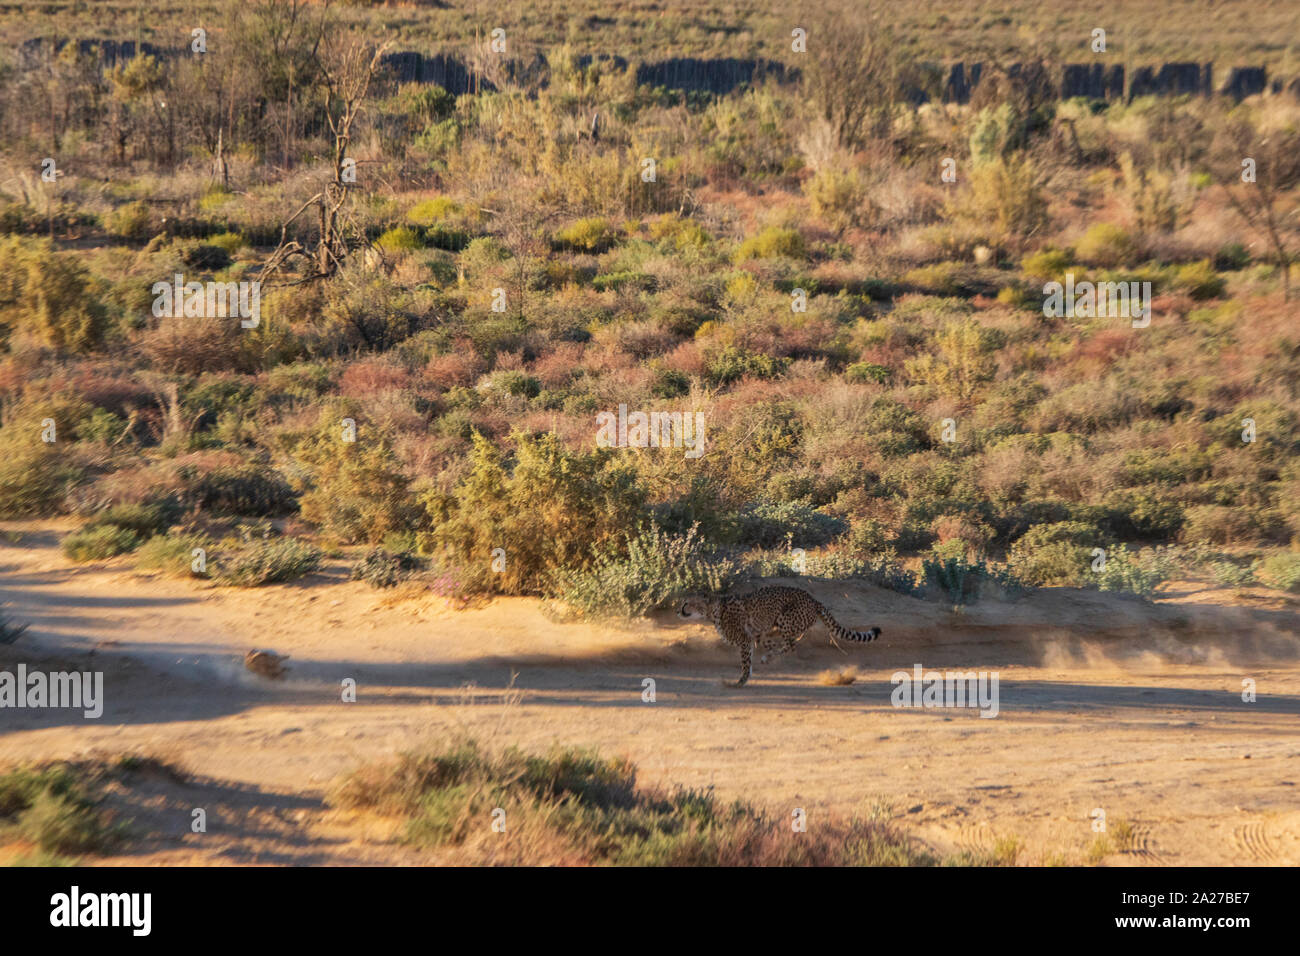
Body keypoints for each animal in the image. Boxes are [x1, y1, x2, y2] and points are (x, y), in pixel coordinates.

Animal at [676, 582, 878, 686]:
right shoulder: (753, 636)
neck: (714, 609)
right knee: (789, 643)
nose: (677, 611)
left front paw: (741, 680)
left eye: (686, 603)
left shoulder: (744, 639)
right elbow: (759, 650)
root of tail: (813, 599)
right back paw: (770, 656)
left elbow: (745, 662)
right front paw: (755, 668)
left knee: (791, 644)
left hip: (785, 618)